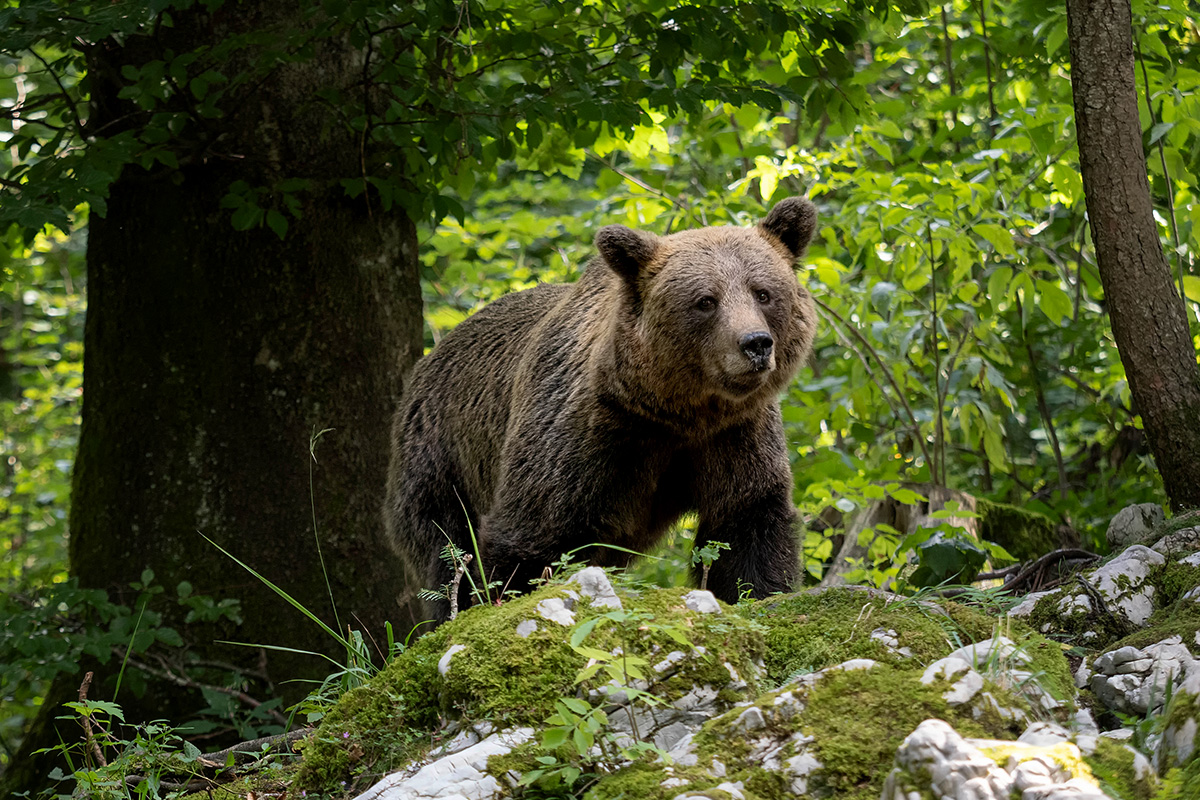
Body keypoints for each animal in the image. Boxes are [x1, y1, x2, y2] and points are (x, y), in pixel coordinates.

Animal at [388, 196, 820, 623]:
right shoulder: (586, 436)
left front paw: (759, 592)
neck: (678, 413)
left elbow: (747, 523)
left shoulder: (734, 435)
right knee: (446, 551)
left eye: (762, 292)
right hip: (439, 460)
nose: (755, 343)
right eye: (705, 301)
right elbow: (532, 535)